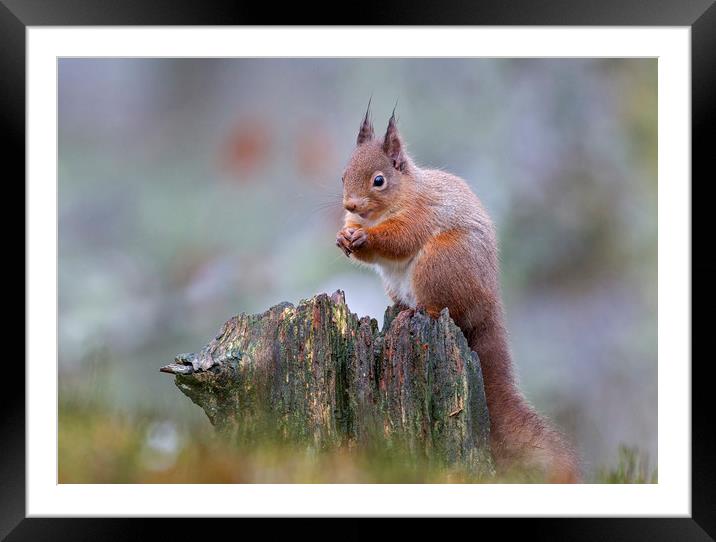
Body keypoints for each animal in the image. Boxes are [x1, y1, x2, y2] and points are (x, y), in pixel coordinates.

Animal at [338, 107, 580, 484]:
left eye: (379, 180)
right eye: (342, 176)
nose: (350, 204)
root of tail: (489, 306)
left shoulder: (422, 213)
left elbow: (399, 239)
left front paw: (367, 238)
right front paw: (345, 236)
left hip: (440, 263)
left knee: (441, 306)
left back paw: (418, 310)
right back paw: (400, 306)